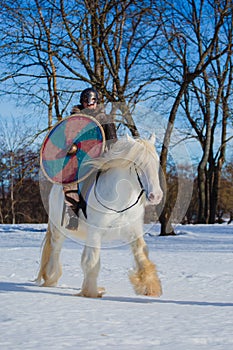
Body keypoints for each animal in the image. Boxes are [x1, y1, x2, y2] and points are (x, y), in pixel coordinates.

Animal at [36, 134, 164, 298]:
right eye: (138, 164)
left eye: (156, 162)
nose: (156, 196)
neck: (120, 200)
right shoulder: (96, 232)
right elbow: (92, 261)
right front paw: (91, 292)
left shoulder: (133, 232)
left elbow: (142, 256)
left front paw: (150, 288)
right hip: (60, 230)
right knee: (55, 250)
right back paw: (51, 278)